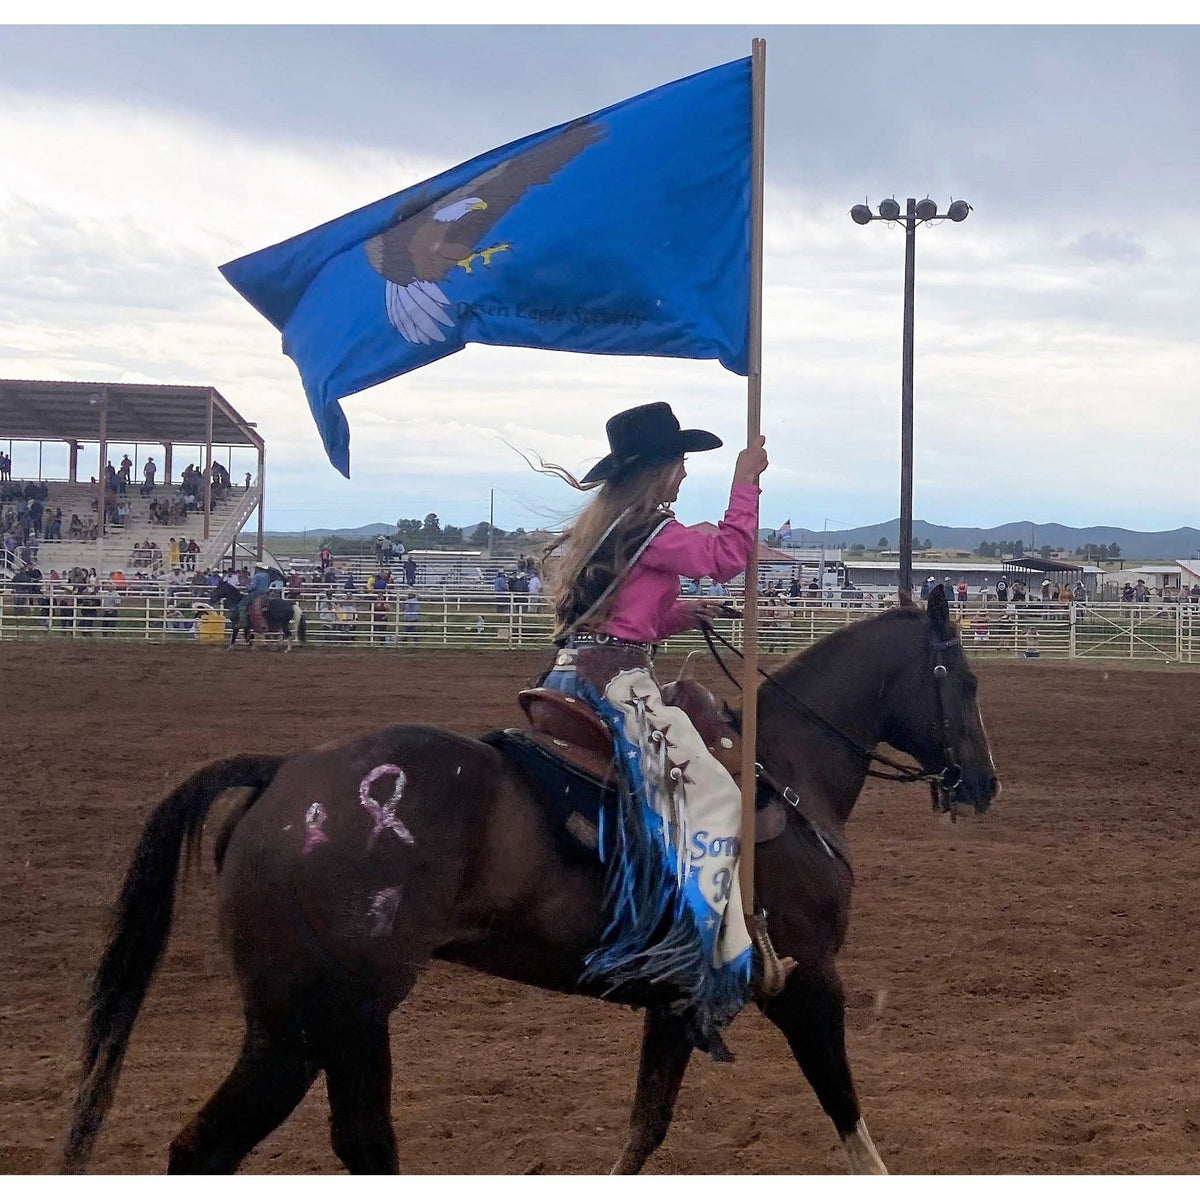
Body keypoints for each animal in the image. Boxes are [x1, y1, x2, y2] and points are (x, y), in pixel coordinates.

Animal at [63, 590, 993, 1171]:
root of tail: (284, 773)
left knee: (361, 1139)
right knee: (210, 1147)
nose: (984, 785)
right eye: (968, 680)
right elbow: (849, 1117)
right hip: (299, 1026)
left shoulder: (677, 1000)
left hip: (349, 1019)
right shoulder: (807, 982)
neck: (785, 769)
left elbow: (644, 1130)